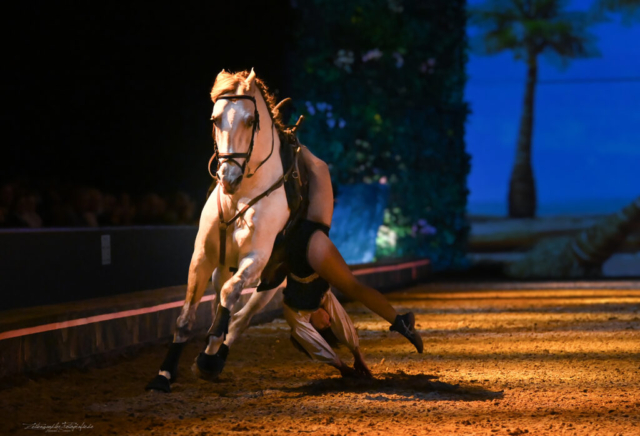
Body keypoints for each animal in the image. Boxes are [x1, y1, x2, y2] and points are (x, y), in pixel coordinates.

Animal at [146, 69, 296, 392]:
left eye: (250, 120)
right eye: (215, 119)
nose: (228, 177)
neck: (240, 196)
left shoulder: (256, 259)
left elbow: (230, 301)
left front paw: (208, 358)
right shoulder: (203, 258)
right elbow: (186, 317)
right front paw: (164, 374)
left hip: (272, 280)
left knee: (240, 316)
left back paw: (213, 358)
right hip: (221, 269)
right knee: (220, 301)